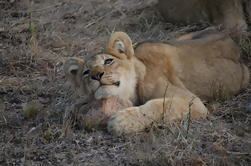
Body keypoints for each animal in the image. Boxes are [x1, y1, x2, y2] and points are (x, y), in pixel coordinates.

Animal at [64, 27, 249, 136]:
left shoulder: (194, 102)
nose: (96, 75)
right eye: (86, 72)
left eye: (108, 61)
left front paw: (121, 121)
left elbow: (159, 105)